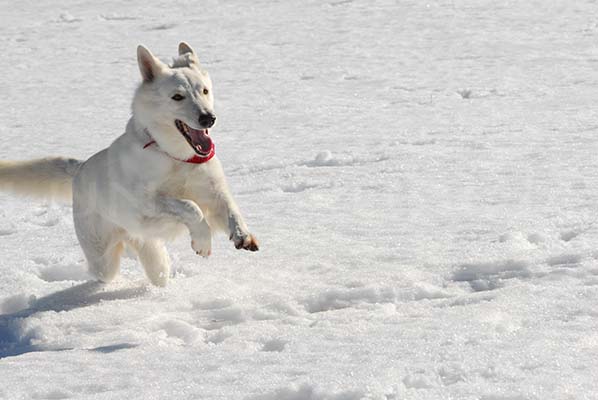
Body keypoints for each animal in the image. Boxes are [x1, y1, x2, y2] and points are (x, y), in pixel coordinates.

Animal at [0, 42, 258, 286]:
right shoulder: (146, 202)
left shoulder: (213, 192)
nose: (208, 118)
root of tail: (80, 168)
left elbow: (231, 210)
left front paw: (243, 236)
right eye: (177, 97)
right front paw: (203, 241)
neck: (175, 157)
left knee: (151, 258)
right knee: (103, 267)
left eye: (204, 91)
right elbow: (190, 207)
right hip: (103, 260)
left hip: (146, 247)